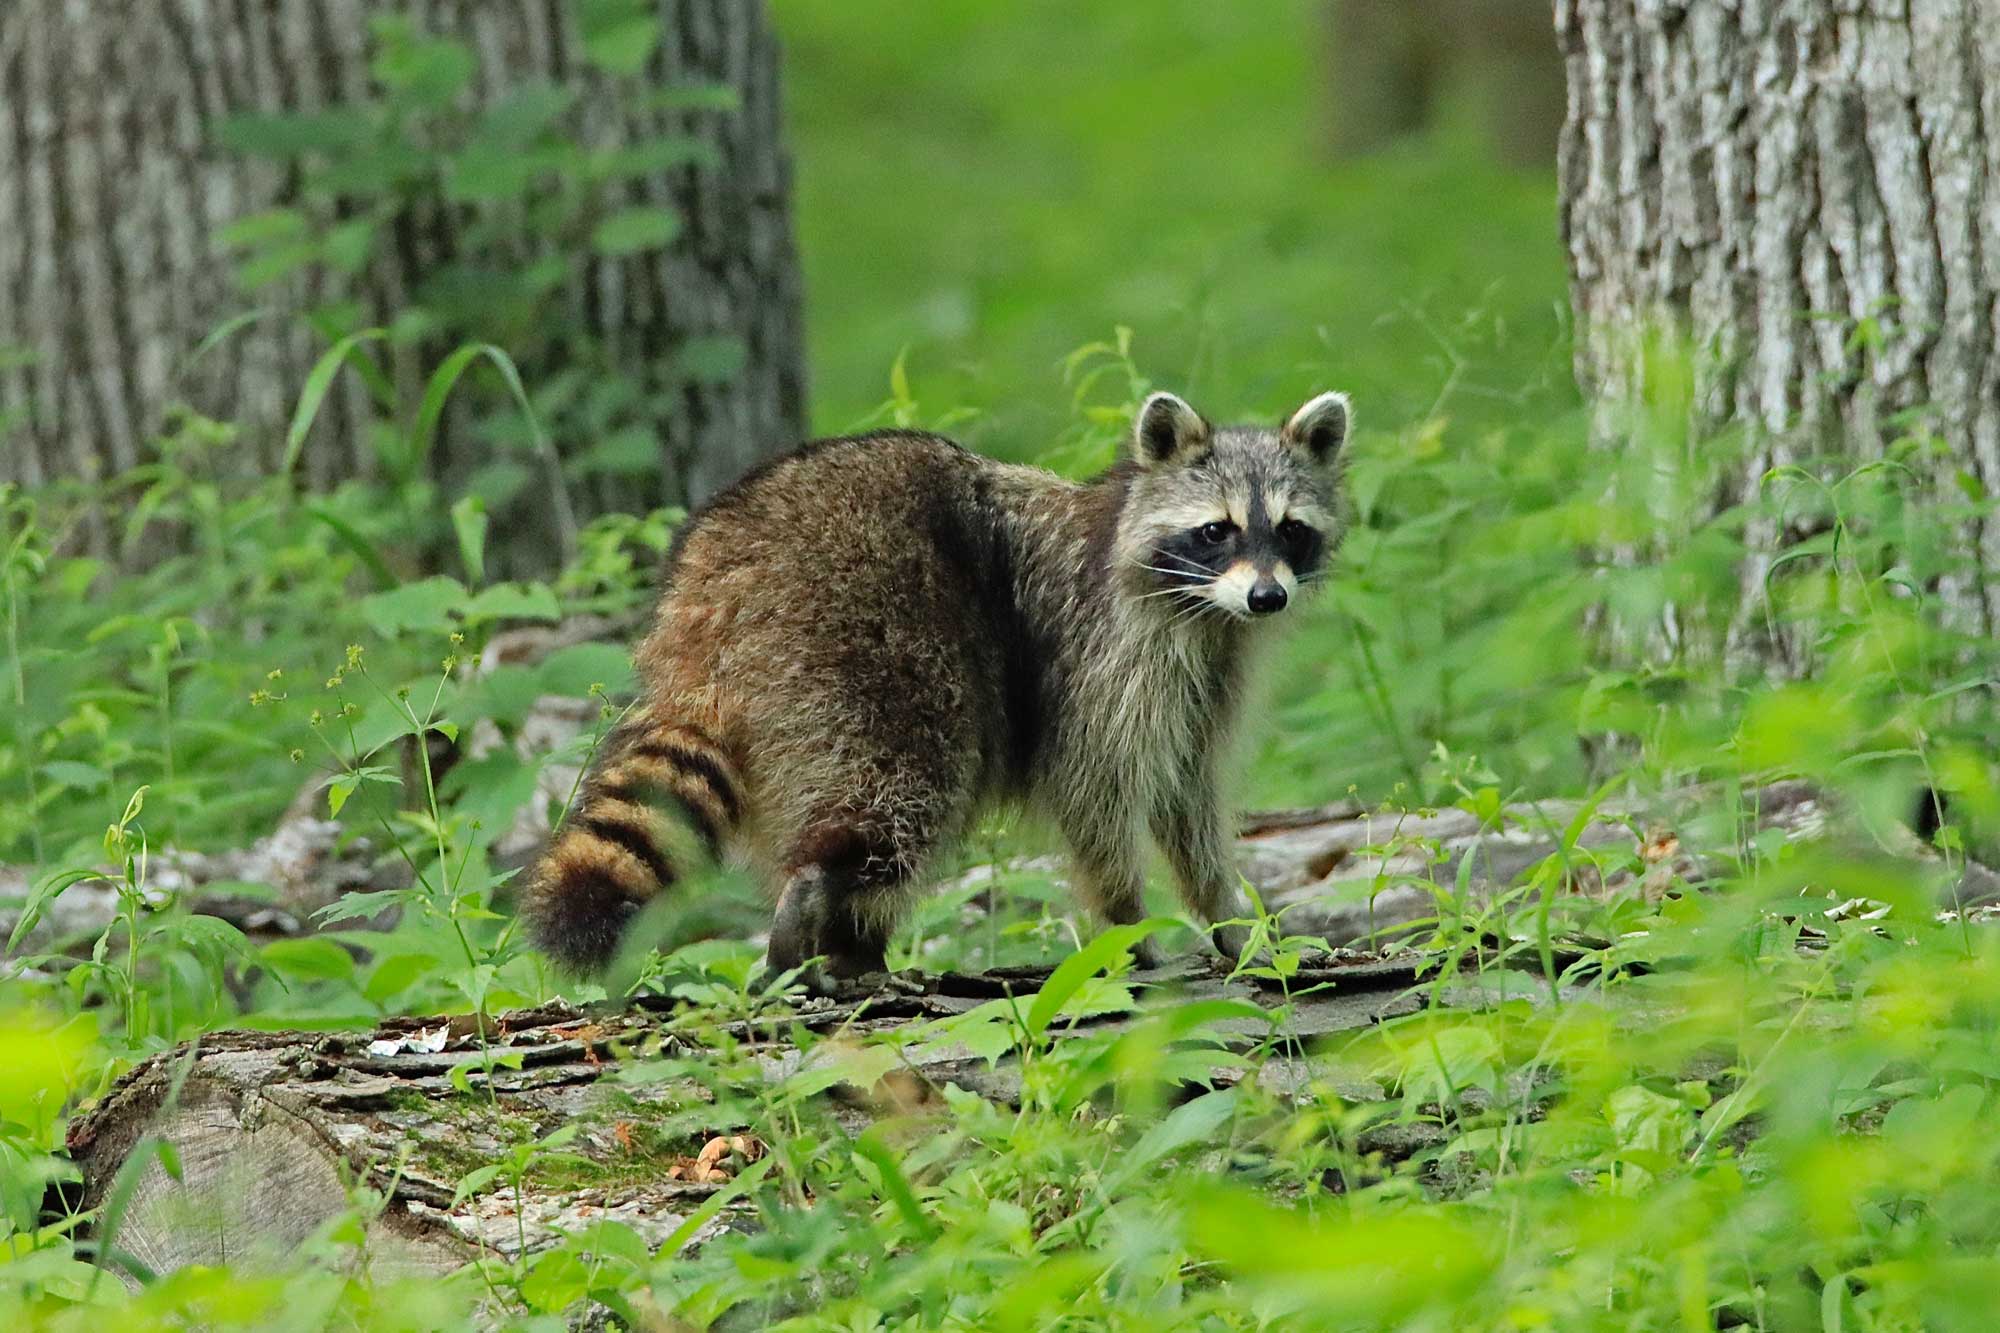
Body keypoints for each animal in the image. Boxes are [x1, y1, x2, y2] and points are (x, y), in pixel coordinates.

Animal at [523, 388, 1350, 981]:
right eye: (1217, 530)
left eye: (1290, 528)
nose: (1268, 597)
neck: (1203, 606)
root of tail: (715, 572)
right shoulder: (1100, 655)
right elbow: (1094, 792)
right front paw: (1128, 927)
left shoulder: (1209, 675)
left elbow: (1186, 799)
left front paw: (1231, 919)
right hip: (862, 632)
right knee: (900, 789)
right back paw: (821, 912)